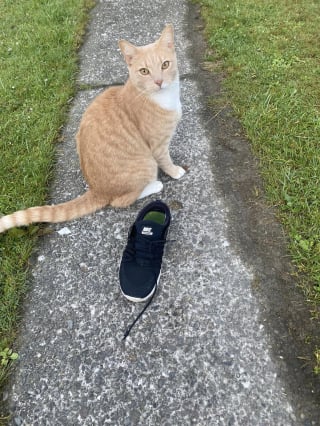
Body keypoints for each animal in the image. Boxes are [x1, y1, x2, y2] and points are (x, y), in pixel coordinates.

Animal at [0, 24, 185, 233]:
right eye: (144, 71)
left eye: (165, 65)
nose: (159, 82)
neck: (162, 97)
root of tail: (97, 190)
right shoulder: (157, 145)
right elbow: (165, 160)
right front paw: (175, 171)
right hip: (146, 164)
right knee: (120, 201)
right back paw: (155, 184)